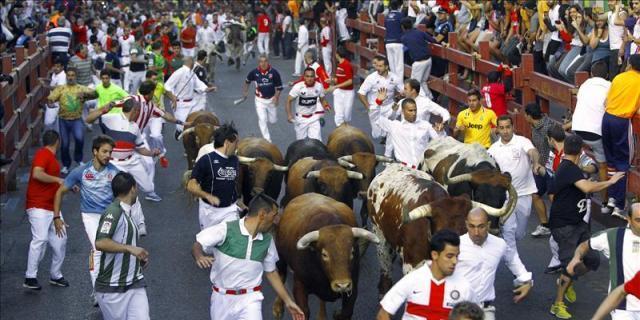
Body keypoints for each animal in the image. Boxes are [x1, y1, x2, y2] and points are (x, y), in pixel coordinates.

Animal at [272, 192, 380, 320]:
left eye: (352, 252)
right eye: (324, 254)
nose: (342, 285)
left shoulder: (353, 288)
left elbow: (346, 312)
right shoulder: (299, 286)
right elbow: (304, 312)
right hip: (280, 256)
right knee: (282, 275)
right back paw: (278, 308)